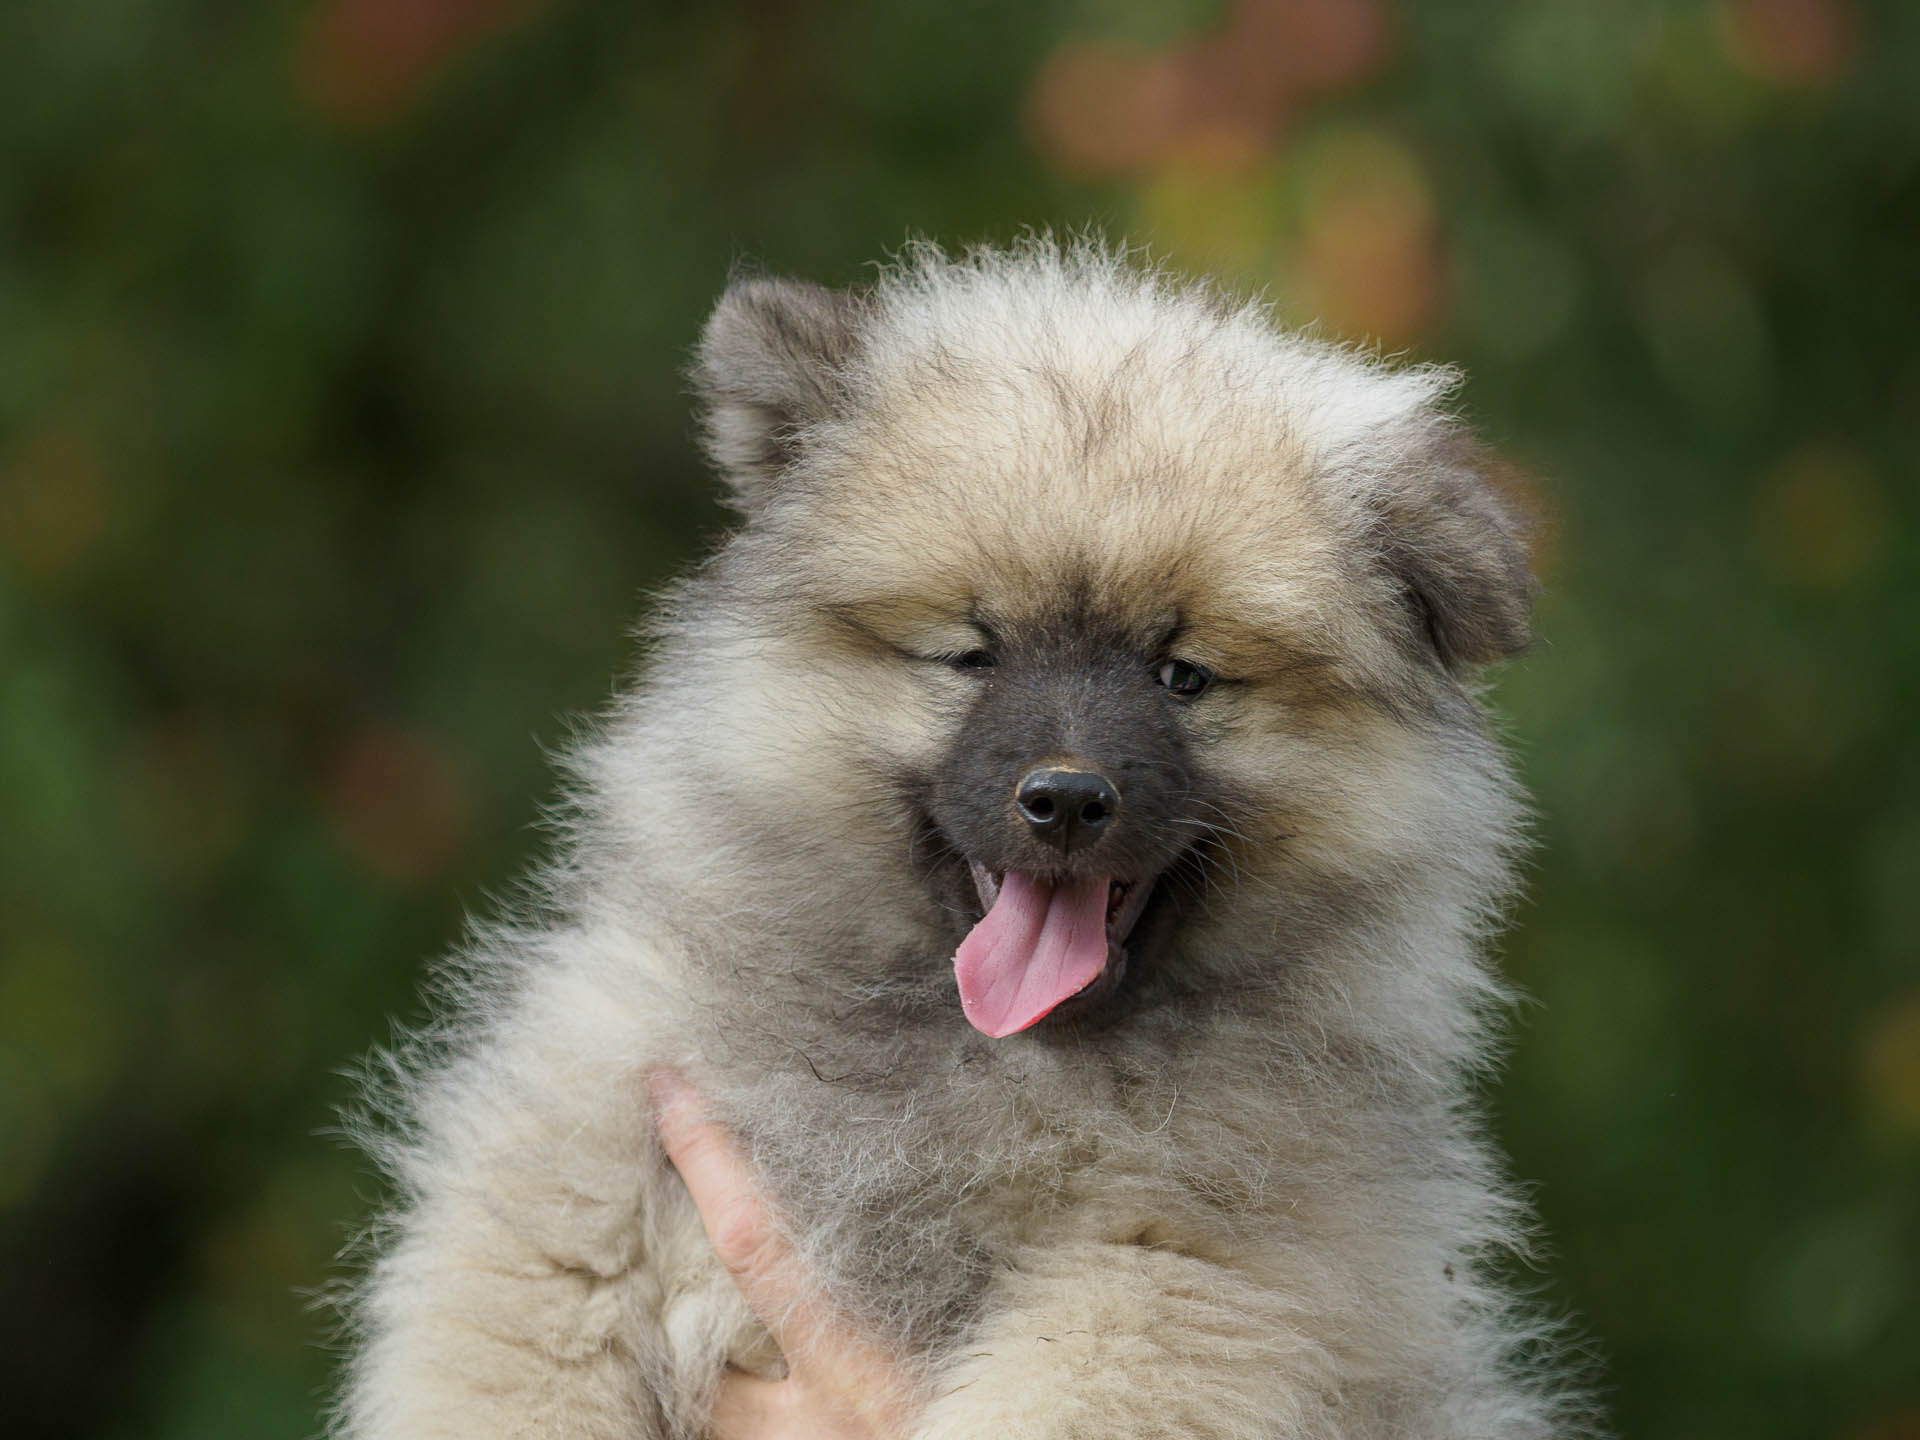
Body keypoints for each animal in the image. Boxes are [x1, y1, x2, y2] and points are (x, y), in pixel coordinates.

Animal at [337, 240, 1582, 1440]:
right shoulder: (570, 1184)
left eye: (1182, 676)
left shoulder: (1170, 1279)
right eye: (974, 654)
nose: (1066, 798)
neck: (975, 1064)